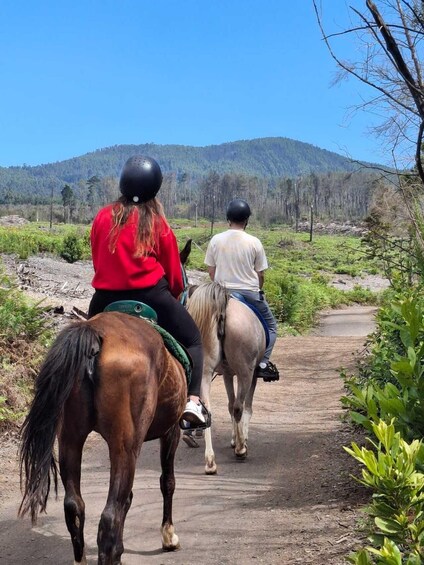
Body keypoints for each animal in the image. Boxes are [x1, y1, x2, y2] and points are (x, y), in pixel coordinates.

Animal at [18, 310, 188, 565]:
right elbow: (167, 482)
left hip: (69, 440)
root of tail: (94, 333)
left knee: (74, 507)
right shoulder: (171, 431)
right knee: (110, 516)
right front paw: (169, 536)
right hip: (125, 448)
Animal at [187, 281, 266, 475]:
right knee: (239, 407)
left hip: (205, 371)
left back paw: (210, 462)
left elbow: (230, 405)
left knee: (206, 410)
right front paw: (241, 439)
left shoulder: (228, 374)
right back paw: (241, 450)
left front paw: (234, 437)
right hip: (245, 371)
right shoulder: (252, 374)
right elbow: (245, 407)